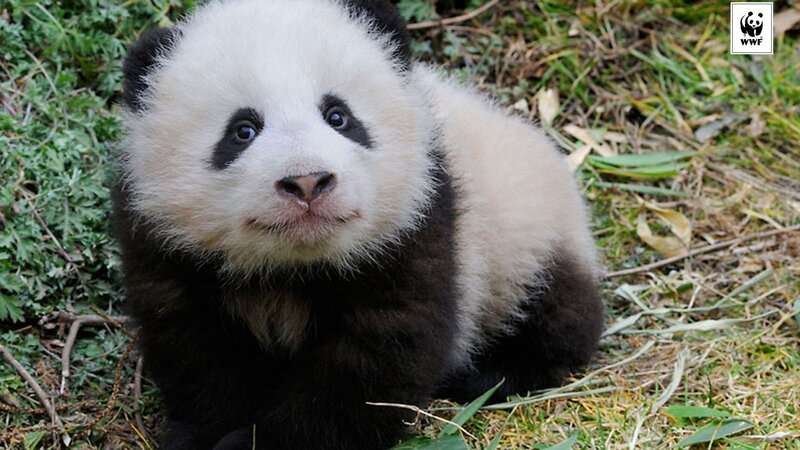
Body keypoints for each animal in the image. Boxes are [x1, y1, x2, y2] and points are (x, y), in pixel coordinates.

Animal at [114, 0, 604, 448]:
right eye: (243, 130)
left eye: (339, 116)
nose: (307, 181)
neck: (293, 266)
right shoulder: (167, 246)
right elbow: (198, 351)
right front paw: (209, 433)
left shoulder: (416, 223)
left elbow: (373, 361)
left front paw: (269, 442)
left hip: (526, 236)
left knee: (555, 317)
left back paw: (490, 372)